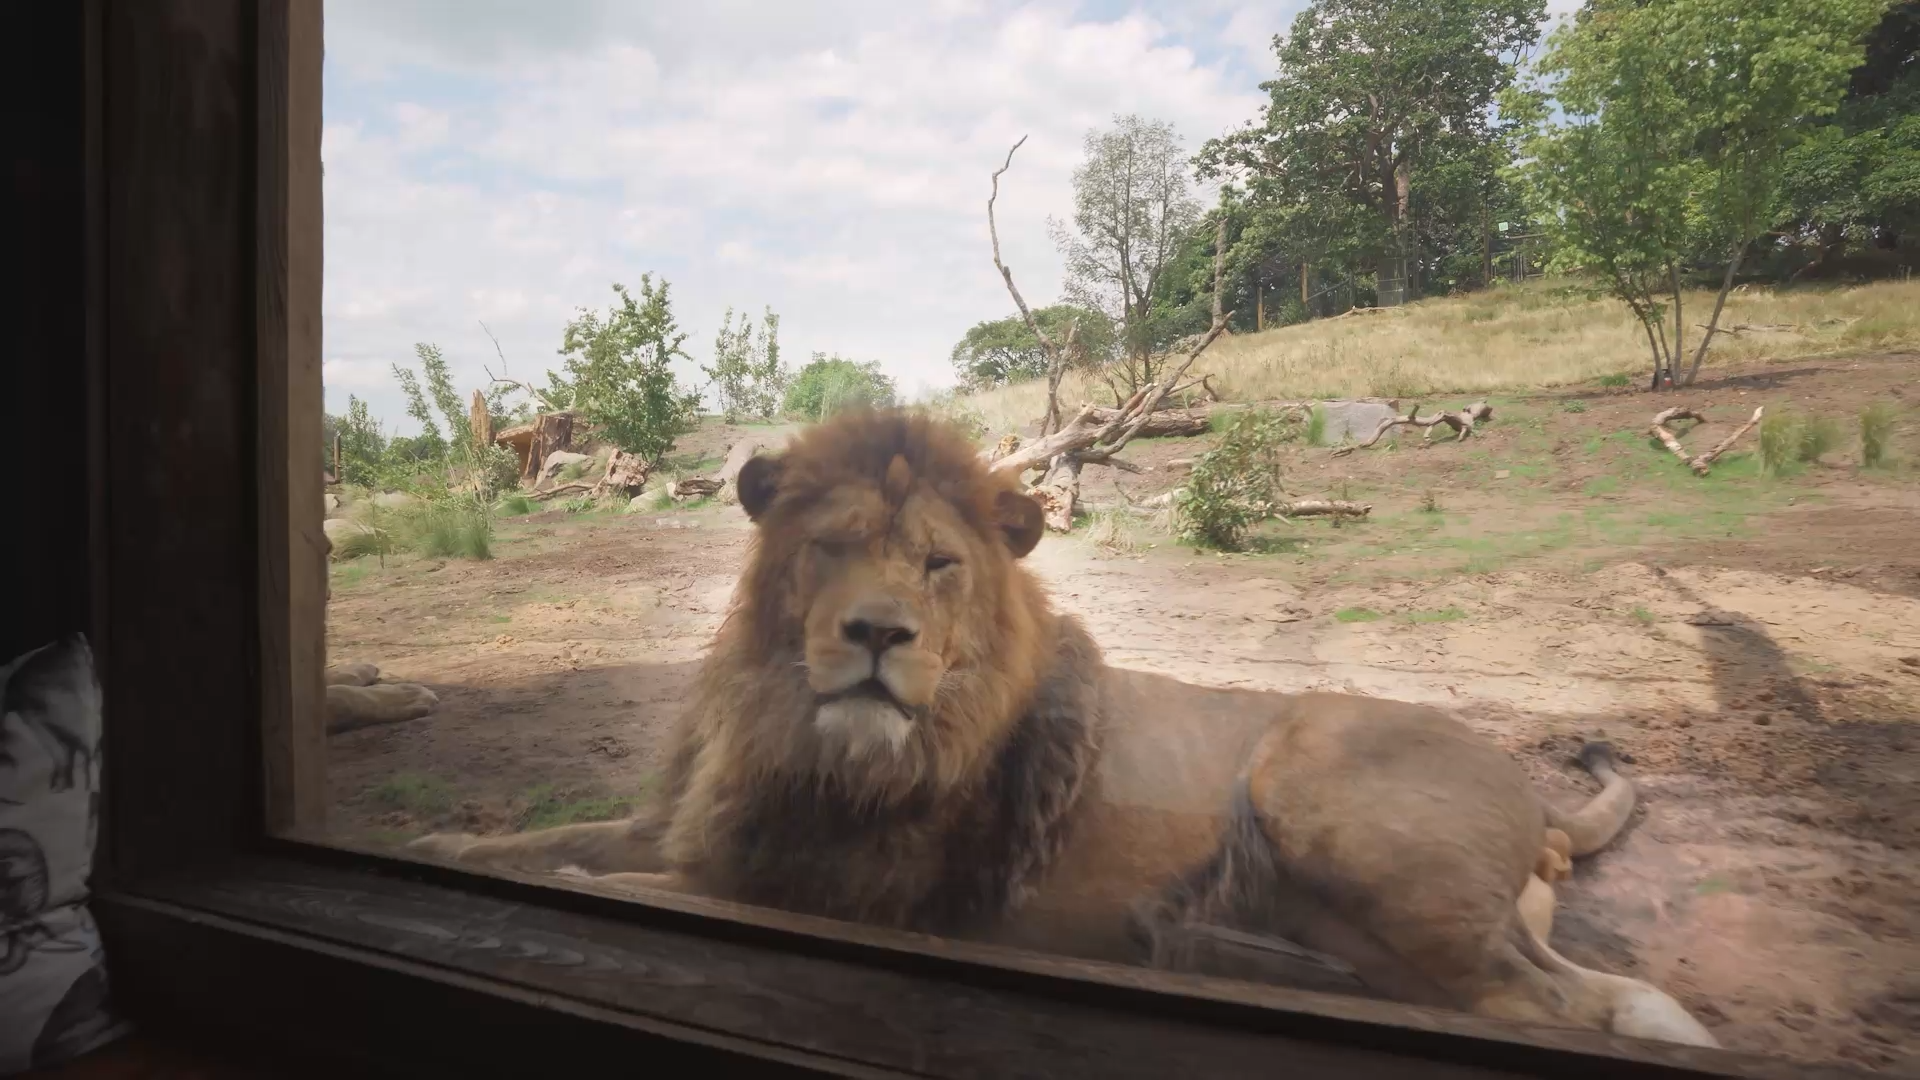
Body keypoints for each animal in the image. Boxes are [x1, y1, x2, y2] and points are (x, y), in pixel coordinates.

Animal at [407, 408, 1716, 1048]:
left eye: (939, 564)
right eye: (831, 544)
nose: (875, 634)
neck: (782, 722)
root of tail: (1536, 797)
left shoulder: (820, 898)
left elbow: (604, 884)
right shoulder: (688, 829)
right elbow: (533, 848)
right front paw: (440, 852)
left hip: (1312, 777)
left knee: (1547, 1008)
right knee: (1588, 988)